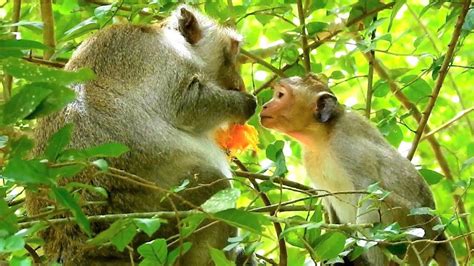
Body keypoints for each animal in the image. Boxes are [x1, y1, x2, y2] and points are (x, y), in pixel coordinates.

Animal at [25, 4, 256, 266]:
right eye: (233, 50)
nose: (240, 83)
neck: (164, 33)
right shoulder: (166, 58)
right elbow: (187, 106)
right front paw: (243, 104)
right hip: (161, 219)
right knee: (213, 183)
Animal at [262, 74, 458, 264]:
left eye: (280, 95)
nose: (264, 105)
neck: (321, 137)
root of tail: (437, 234)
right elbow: (329, 203)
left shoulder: (345, 144)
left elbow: (368, 190)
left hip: (413, 230)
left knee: (375, 200)